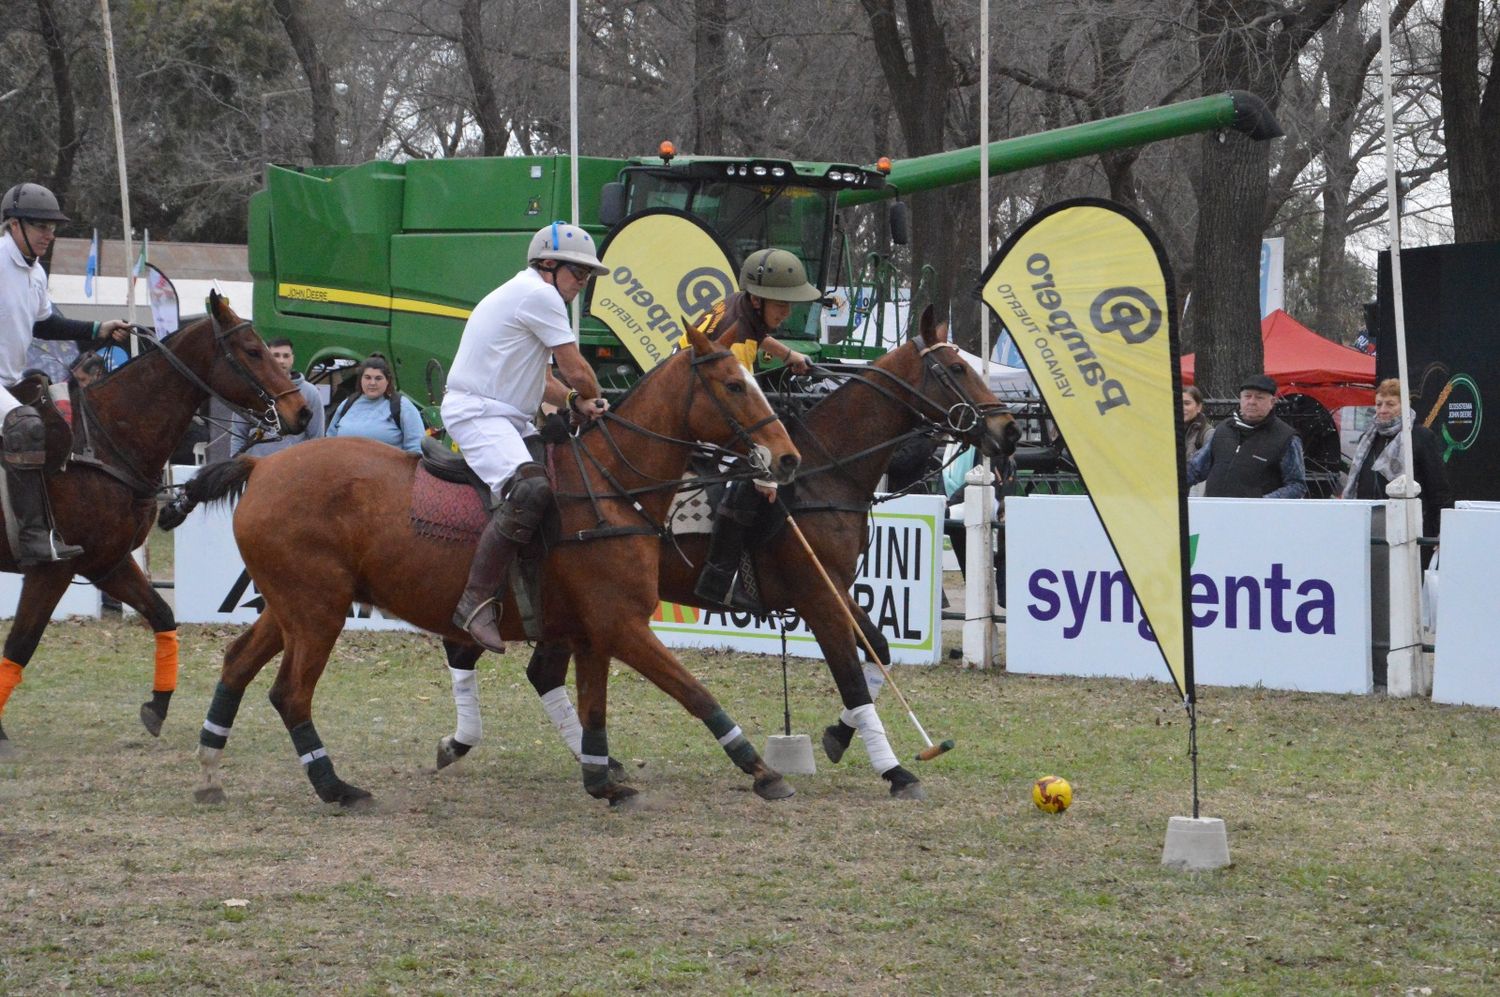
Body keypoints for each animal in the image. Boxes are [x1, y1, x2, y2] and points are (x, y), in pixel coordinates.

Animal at [0, 289, 309, 755]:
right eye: (253, 351)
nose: (303, 411)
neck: (103, 443)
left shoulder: (105, 561)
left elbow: (162, 614)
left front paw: (157, 707)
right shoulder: (53, 569)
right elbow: (20, 644)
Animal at [181, 326, 804, 809]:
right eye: (733, 386)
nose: (788, 458)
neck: (612, 488)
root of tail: (261, 469)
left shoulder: (592, 632)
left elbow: (594, 709)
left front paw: (602, 779)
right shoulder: (622, 624)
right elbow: (694, 692)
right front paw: (762, 770)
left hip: (292, 602)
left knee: (237, 663)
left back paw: (210, 770)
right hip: (317, 610)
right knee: (290, 693)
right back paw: (336, 787)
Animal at [447, 302, 1020, 791]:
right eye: (957, 368)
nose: (1009, 430)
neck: (825, 471)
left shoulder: (836, 586)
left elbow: (877, 650)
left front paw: (839, 736)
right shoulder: (817, 593)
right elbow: (852, 675)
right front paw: (896, 770)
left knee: (537, 670)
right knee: (478, 648)